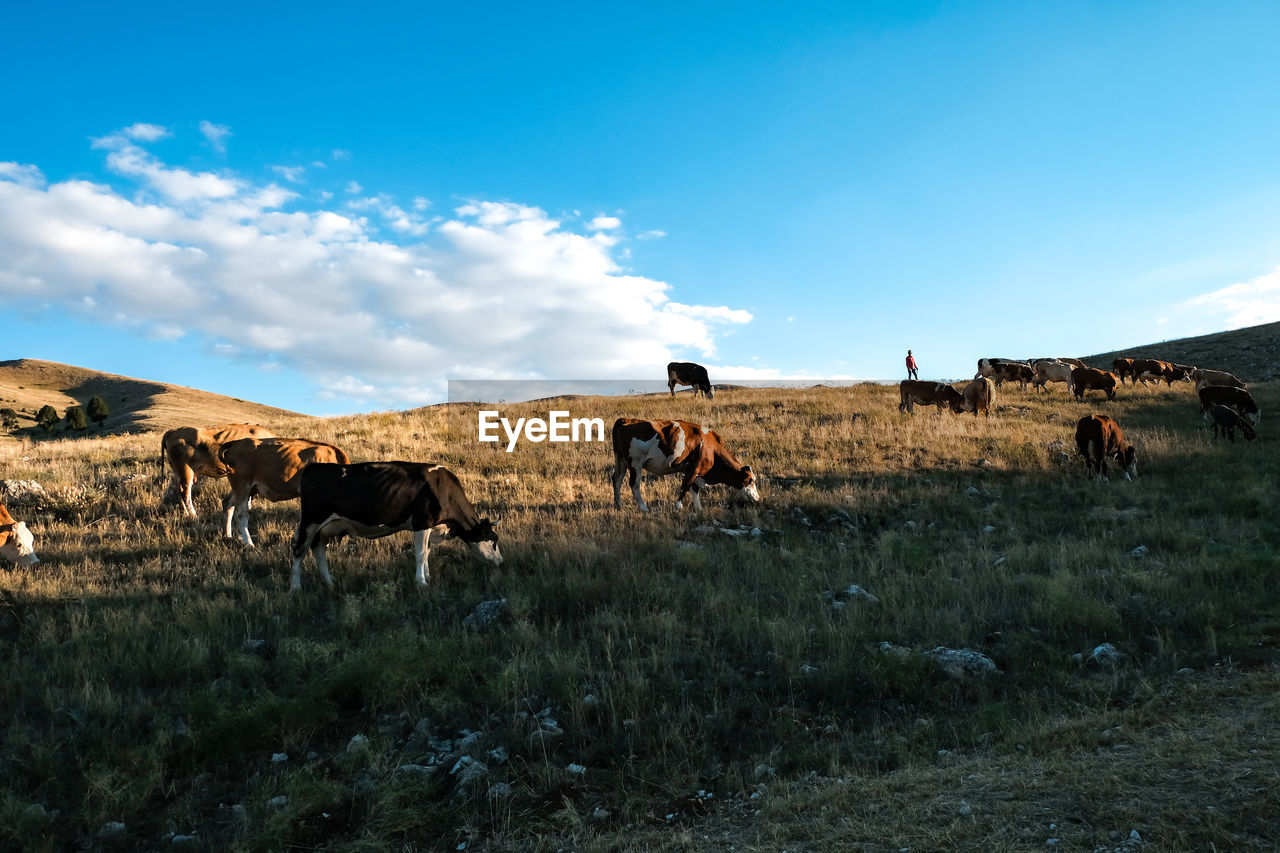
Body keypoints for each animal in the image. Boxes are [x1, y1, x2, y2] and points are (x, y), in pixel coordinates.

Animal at [220, 438, 350, 545]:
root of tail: (236, 443)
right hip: (243, 486)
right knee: (242, 514)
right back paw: (249, 544)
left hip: (249, 489)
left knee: (227, 503)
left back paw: (228, 536)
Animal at [290, 461, 504, 589]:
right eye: (493, 540)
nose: (501, 562)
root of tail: (314, 466)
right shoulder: (421, 522)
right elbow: (420, 554)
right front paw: (421, 582)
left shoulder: (429, 526)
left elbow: (427, 552)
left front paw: (428, 576)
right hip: (311, 522)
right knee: (300, 551)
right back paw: (296, 587)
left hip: (324, 529)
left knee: (319, 550)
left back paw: (329, 583)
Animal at [611, 414, 757, 507]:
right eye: (750, 480)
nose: (757, 498)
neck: (712, 448)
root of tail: (626, 420)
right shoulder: (694, 468)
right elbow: (686, 486)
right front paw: (678, 506)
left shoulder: (692, 470)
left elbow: (694, 489)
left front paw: (698, 508)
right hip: (635, 463)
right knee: (634, 484)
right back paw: (643, 507)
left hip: (621, 460)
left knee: (617, 479)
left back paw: (618, 504)